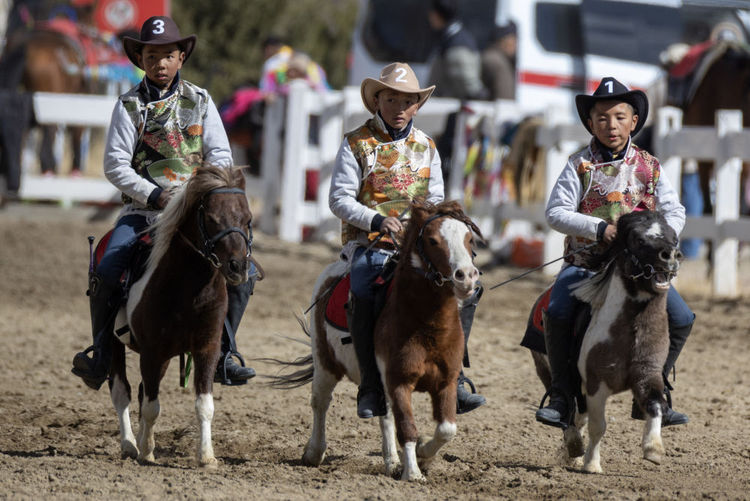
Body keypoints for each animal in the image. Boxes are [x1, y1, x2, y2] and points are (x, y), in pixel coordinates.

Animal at [108, 166, 256, 466]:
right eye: (212, 218)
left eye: (247, 218)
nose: (238, 266)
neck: (188, 290)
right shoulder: (152, 351)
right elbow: (152, 406)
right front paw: (147, 451)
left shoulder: (206, 348)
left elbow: (204, 405)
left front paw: (207, 456)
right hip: (116, 343)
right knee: (122, 392)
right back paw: (129, 445)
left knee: (140, 391)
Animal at [276, 199, 482, 480]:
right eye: (432, 240)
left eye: (469, 238)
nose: (467, 276)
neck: (426, 325)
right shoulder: (398, 381)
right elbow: (407, 427)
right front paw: (413, 472)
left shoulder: (446, 382)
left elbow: (447, 429)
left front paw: (423, 456)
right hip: (325, 362)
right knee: (321, 401)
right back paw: (314, 453)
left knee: (384, 415)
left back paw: (391, 460)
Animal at [532, 209, 684, 470]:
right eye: (638, 239)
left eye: (673, 237)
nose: (671, 255)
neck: (629, 331)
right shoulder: (596, 385)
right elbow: (599, 426)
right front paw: (592, 464)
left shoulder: (647, 376)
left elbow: (655, 406)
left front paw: (653, 449)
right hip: (547, 369)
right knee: (567, 406)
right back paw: (573, 443)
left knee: (578, 415)